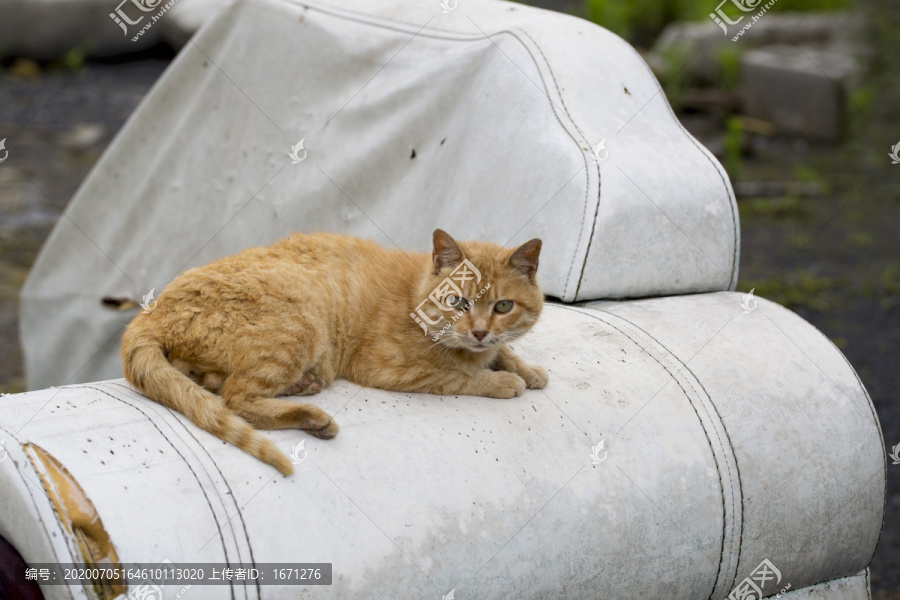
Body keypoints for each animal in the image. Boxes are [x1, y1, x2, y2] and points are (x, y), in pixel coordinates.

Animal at [118, 229, 540, 474]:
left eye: (503, 306)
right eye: (457, 302)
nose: (480, 331)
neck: (415, 295)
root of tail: (150, 313)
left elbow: (500, 352)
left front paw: (527, 368)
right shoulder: (387, 368)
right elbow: (460, 374)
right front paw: (504, 380)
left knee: (210, 382)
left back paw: (303, 389)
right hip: (300, 325)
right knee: (235, 398)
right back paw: (312, 417)